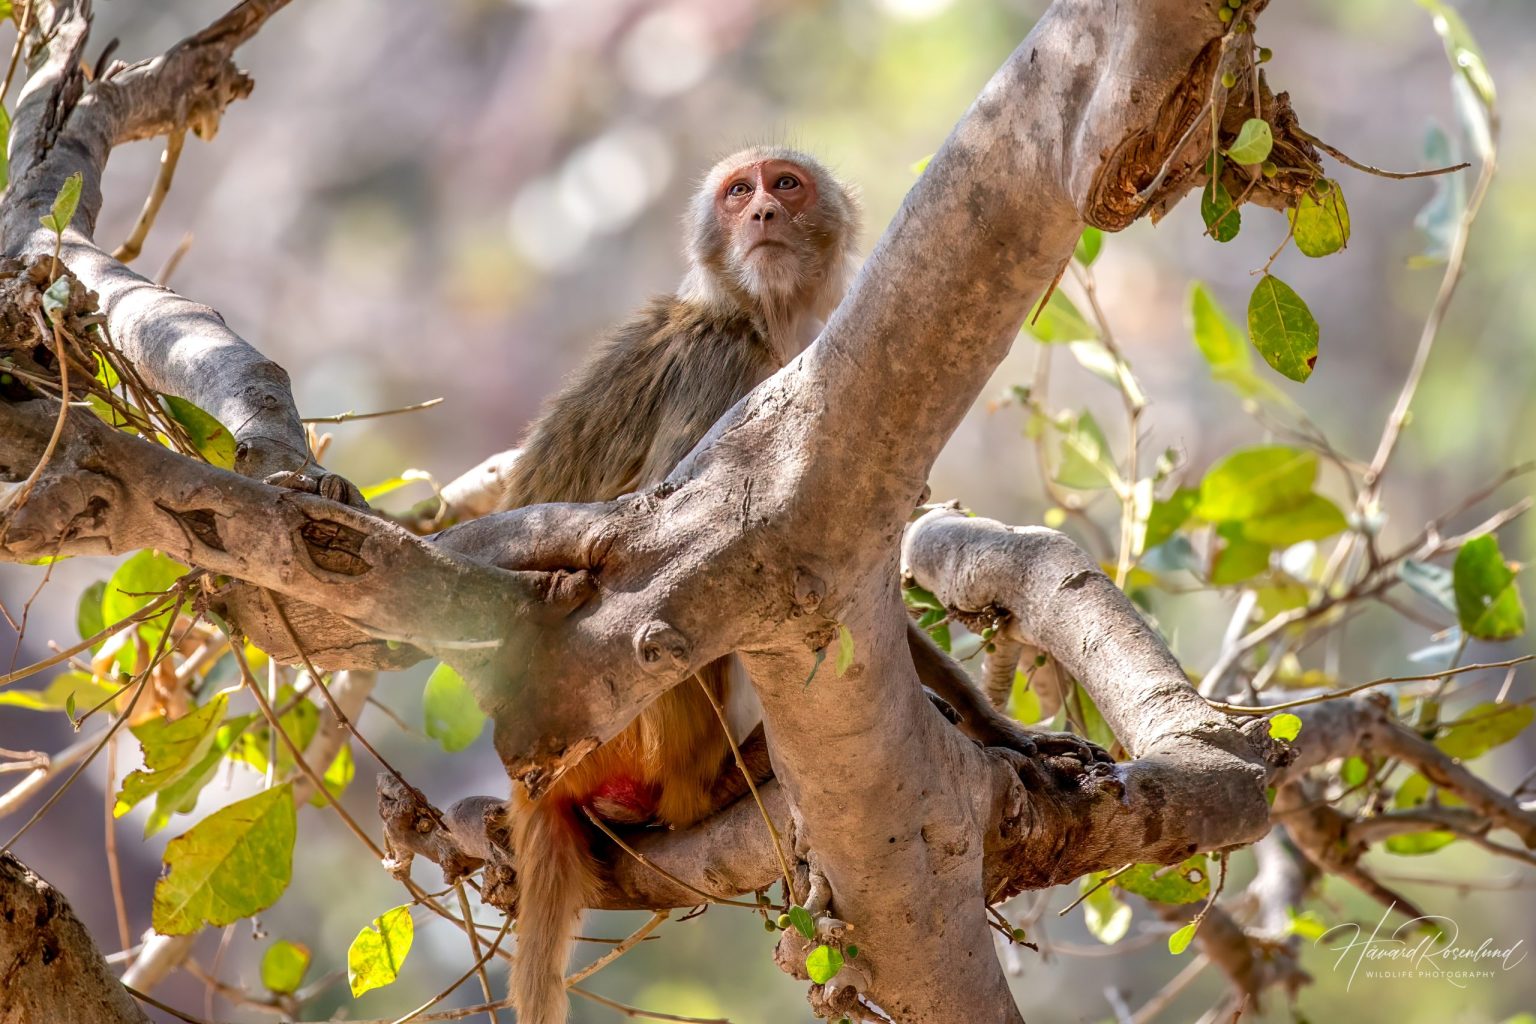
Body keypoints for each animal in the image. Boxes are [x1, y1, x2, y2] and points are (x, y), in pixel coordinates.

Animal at [496, 145, 1108, 1024]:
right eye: (737, 192)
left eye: (784, 185)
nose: (761, 214)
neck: (760, 321)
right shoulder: (723, 374)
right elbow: (644, 547)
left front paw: (1002, 729)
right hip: (612, 737)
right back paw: (707, 788)